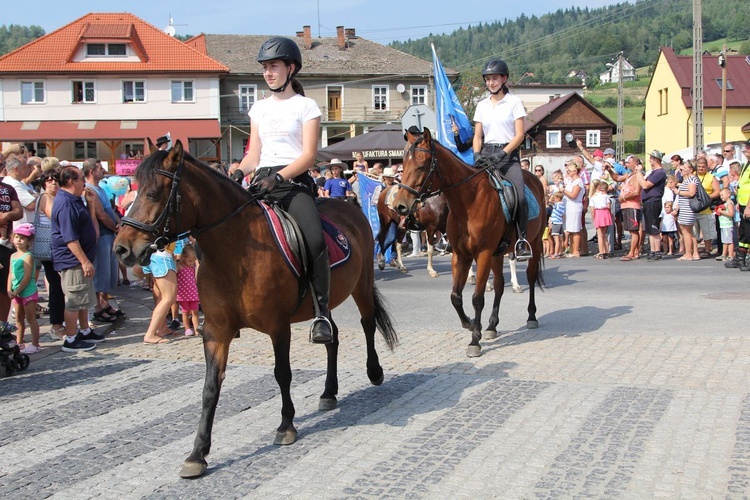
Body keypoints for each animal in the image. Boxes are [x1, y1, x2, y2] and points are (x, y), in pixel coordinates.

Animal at [113, 140, 400, 476]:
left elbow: (282, 374)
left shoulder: (278, 326)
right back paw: (328, 393)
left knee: (367, 322)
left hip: (362, 284)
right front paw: (198, 453)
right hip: (325, 302)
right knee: (332, 336)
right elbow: (210, 388)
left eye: (153, 193)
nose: (121, 249)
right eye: (132, 190)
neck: (235, 251)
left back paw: (374, 372)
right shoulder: (216, 331)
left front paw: (286, 426)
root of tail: (351, 207)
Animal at [394, 128, 548, 356]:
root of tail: (534, 179)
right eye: (403, 165)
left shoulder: (482, 254)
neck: (468, 201)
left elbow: (477, 298)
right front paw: (469, 323)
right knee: (500, 285)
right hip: (497, 253)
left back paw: (531, 316)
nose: (399, 206)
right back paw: (492, 325)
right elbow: (455, 296)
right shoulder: (461, 255)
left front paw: (475, 340)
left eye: (421, 166)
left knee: (530, 277)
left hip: (534, 244)